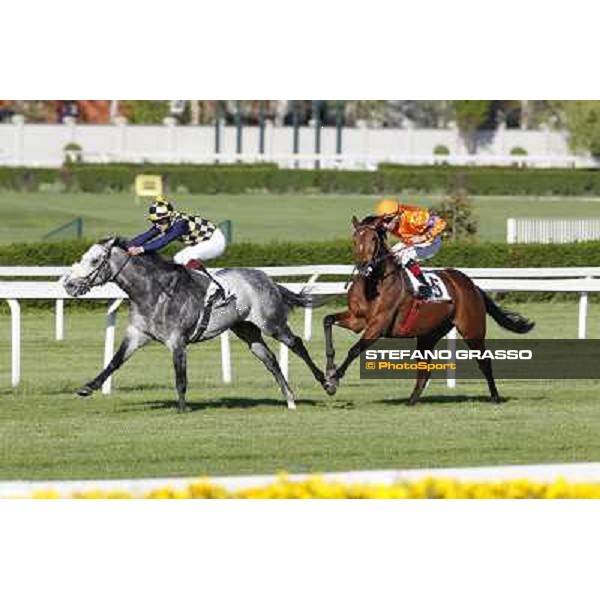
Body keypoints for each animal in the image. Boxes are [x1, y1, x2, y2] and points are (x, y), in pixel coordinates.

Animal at [62, 237, 326, 410]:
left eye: (95, 260)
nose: (68, 285)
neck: (152, 292)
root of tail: (267, 278)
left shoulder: (177, 341)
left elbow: (180, 377)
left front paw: (182, 409)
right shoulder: (137, 334)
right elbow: (114, 361)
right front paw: (88, 387)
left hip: (272, 323)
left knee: (297, 344)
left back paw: (327, 382)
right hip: (246, 329)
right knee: (269, 359)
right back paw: (289, 398)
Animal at [324, 216, 536, 404]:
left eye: (373, 239)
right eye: (355, 238)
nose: (363, 267)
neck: (373, 283)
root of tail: (471, 285)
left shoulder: (378, 325)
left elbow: (354, 349)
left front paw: (332, 380)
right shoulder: (357, 320)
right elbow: (327, 320)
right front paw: (329, 368)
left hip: (472, 329)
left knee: (484, 362)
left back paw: (495, 397)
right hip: (429, 334)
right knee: (425, 370)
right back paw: (411, 401)